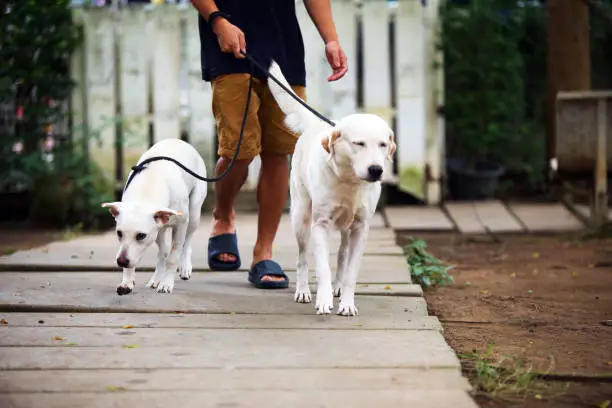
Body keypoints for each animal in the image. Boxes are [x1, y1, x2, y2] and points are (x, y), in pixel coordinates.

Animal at [99, 139, 207, 294]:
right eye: (119, 233)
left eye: (141, 236)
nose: (121, 261)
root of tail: (179, 140)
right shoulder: (153, 231)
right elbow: (163, 254)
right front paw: (127, 282)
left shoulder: (181, 224)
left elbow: (174, 256)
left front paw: (166, 283)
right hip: (159, 230)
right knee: (163, 251)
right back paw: (156, 279)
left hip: (193, 215)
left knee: (187, 242)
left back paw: (185, 266)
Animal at [268, 61, 396, 316]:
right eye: (359, 143)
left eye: (383, 144)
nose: (376, 170)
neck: (349, 181)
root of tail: (317, 124)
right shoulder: (320, 225)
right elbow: (322, 268)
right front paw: (323, 299)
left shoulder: (360, 229)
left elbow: (351, 273)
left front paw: (346, 303)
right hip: (300, 218)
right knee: (302, 258)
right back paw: (303, 290)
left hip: (346, 230)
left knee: (342, 255)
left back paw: (337, 286)